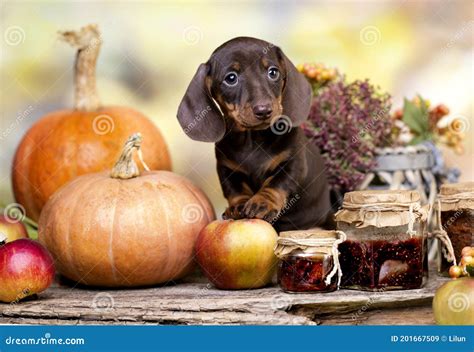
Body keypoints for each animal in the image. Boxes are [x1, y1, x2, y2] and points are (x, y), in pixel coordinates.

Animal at [178, 37, 334, 232]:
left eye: (273, 72)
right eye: (231, 78)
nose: (263, 110)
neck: (253, 139)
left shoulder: (293, 163)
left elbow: (277, 183)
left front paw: (262, 202)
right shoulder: (227, 169)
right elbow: (236, 189)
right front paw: (238, 206)